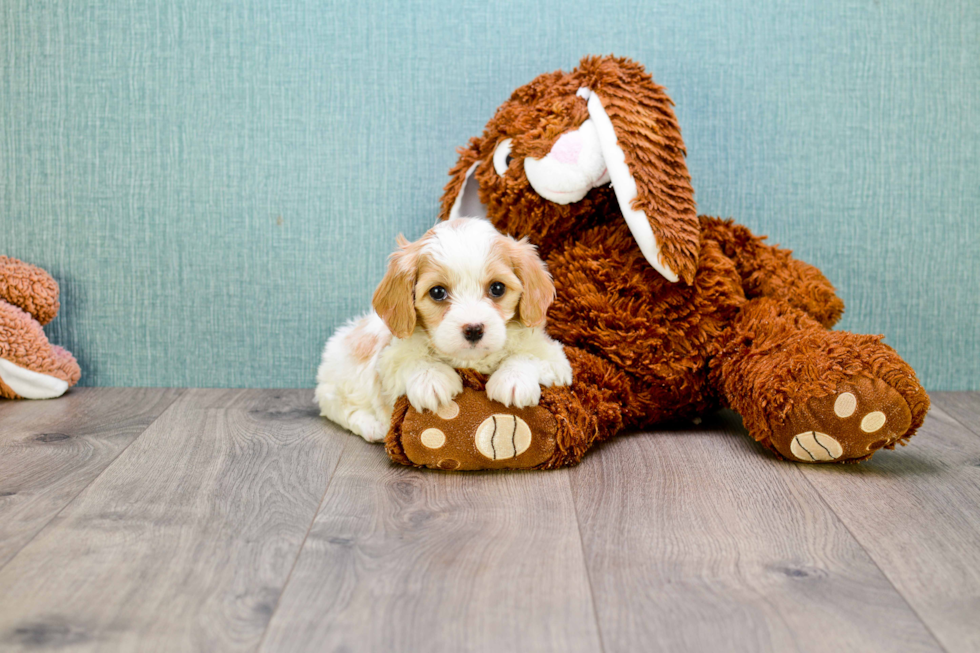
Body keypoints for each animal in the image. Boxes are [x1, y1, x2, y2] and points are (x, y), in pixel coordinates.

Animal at [314, 216, 576, 440]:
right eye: (438, 292)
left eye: (497, 288)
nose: (473, 329)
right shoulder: (388, 359)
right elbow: (409, 360)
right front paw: (432, 380)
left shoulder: (554, 357)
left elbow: (529, 356)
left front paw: (513, 379)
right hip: (337, 381)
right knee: (340, 409)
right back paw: (372, 426)